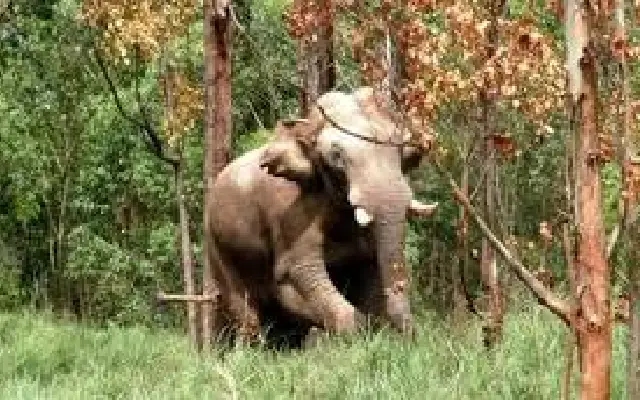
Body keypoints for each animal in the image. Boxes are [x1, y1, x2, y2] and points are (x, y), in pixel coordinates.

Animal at [207, 87, 434, 344]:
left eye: (403, 152)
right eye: (337, 156)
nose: (413, 337)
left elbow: (370, 264)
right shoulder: (289, 212)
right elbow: (297, 272)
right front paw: (354, 335)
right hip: (216, 247)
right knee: (246, 312)